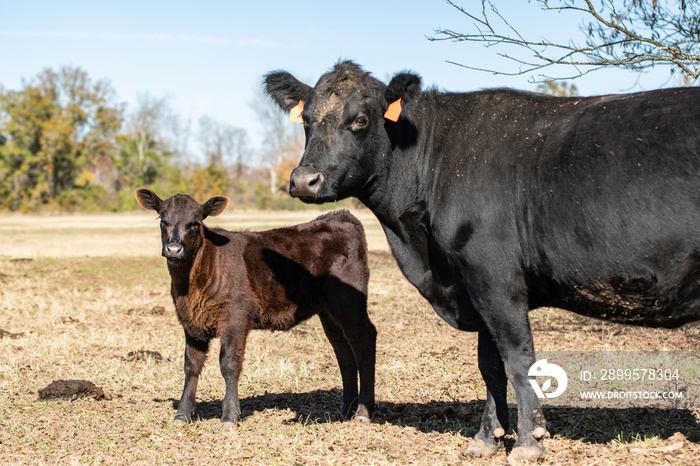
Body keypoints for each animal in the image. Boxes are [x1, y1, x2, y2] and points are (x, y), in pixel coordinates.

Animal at [266, 62, 700, 462]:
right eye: (306, 120)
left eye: (359, 119)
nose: (304, 180)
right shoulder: (473, 284)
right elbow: (489, 364)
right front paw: (487, 438)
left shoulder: (494, 277)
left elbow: (518, 357)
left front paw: (528, 442)